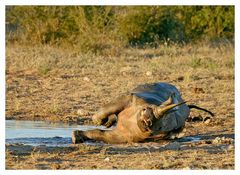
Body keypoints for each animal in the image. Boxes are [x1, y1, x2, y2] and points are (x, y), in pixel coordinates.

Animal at [72, 82, 213, 144]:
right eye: (145, 109)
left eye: (160, 127)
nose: (146, 120)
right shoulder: (130, 98)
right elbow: (111, 108)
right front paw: (97, 121)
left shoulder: (124, 136)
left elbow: (101, 135)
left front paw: (76, 136)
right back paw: (108, 122)